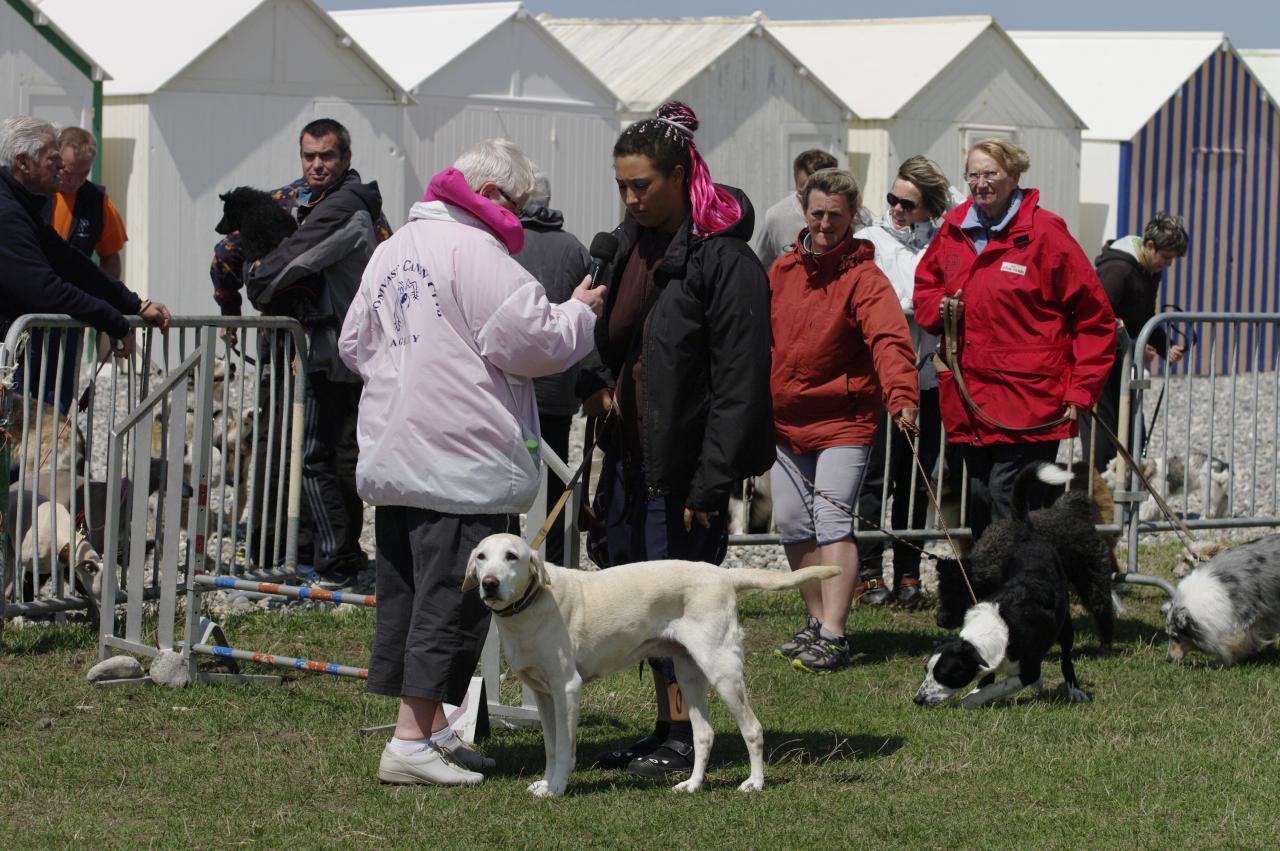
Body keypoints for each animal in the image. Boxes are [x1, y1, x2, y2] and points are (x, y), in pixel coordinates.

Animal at [921, 460, 1090, 706]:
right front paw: (977, 691)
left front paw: (970, 700)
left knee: (1066, 657)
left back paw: (1074, 689)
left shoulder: (1028, 669)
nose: (918, 699)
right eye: (926, 670)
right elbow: (989, 678)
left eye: (944, 675)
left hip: (1065, 626)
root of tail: (1028, 535)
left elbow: (1002, 685)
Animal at [931, 465, 1121, 650]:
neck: (994, 556)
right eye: (941, 593)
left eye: (958, 594)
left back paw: (1105, 645)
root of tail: (1074, 510)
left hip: (1092, 578)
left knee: (1103, 610)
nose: (940, 621)